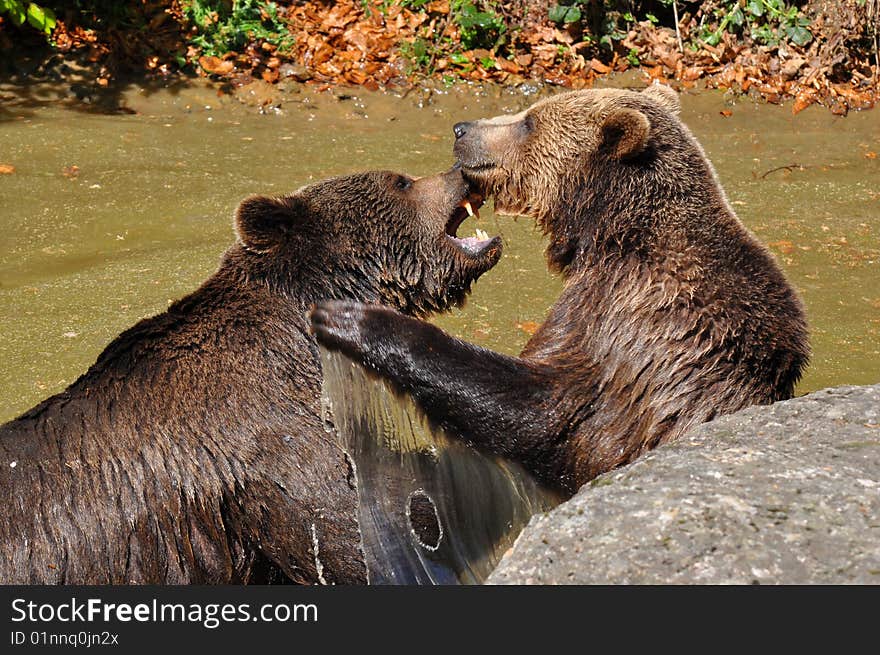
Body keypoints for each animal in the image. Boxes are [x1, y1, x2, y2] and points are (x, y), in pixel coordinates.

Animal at [314, 84, 812, 494]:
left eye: (529, 121)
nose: (461, 129)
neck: (614, 232)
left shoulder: (633, 324)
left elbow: (546, 410)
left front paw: (353, 318)